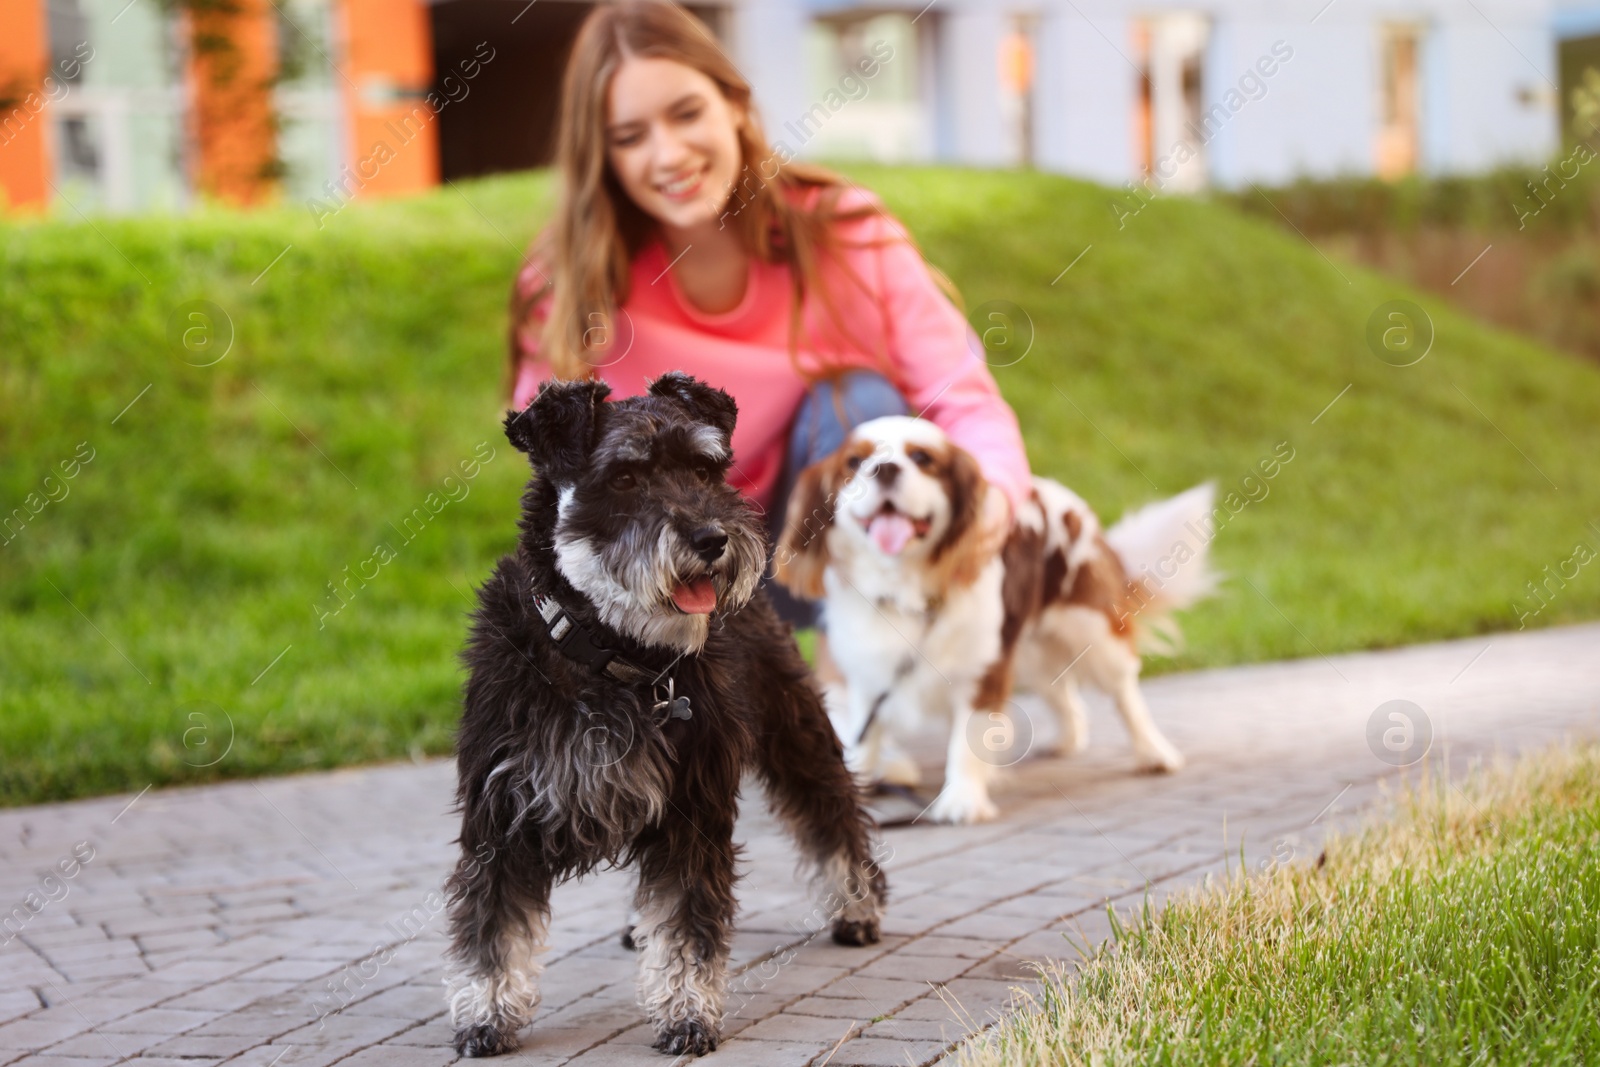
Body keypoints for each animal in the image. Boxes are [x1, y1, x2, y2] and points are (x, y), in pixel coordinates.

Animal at [444, 371, 889, 1055]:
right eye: (625, 477)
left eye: (706, 469)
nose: (713, 540)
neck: (608, 652)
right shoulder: (499, 815)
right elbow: (492, 926)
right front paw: (486, 1014)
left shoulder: (692, 812)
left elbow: (686, 923)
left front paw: (686, 1013)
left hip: (799, 737)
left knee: (833, 817)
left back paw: (858, 905)